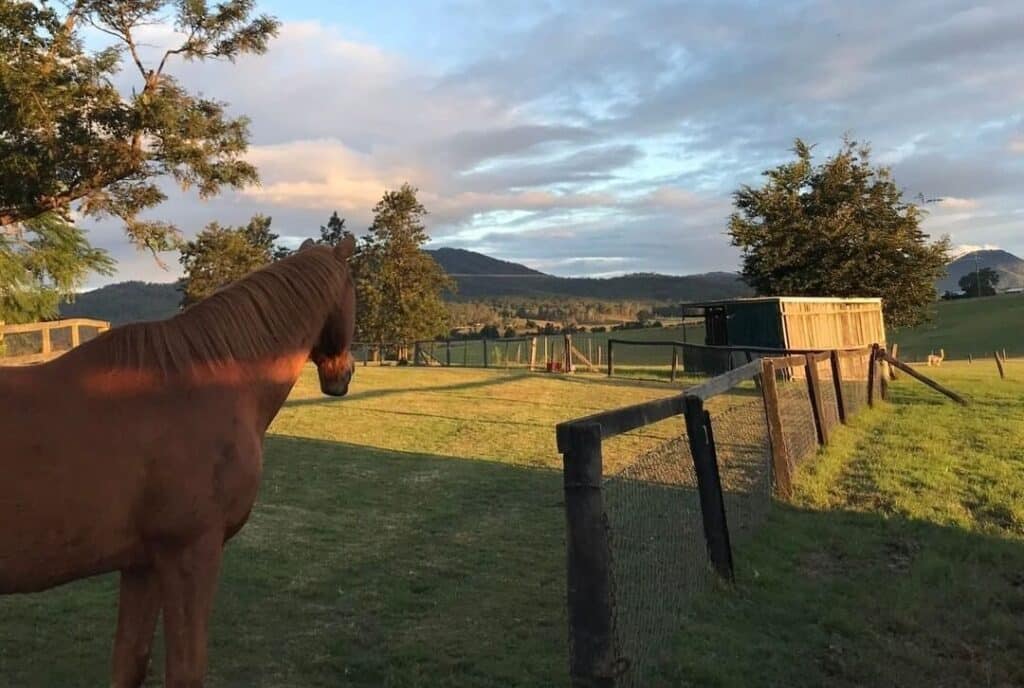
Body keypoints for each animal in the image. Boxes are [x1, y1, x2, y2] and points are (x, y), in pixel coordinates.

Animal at [0, 233, 360, 683]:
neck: (206, 383)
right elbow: (187, 670)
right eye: (354, 289)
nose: (343, 375)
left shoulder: (142, 563)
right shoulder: (190, 552)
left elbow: (130, 661)